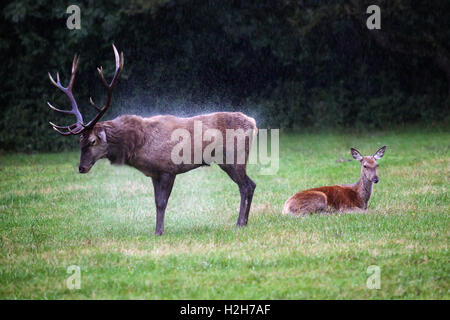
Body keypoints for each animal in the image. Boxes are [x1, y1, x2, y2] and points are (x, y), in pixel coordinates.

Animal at [46, 45, 256, 235]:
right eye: (79, 142)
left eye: (92, 141)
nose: (82, 168)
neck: (138, 145)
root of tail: (253, 122)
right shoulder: (154, 173)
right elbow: (156, 202)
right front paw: (157, 229)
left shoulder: (168, 169)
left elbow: (162, 203)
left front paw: (159, 231)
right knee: (251, 184)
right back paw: (245, 222)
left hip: (234, 157)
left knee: (245, 186)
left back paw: (239, 223)